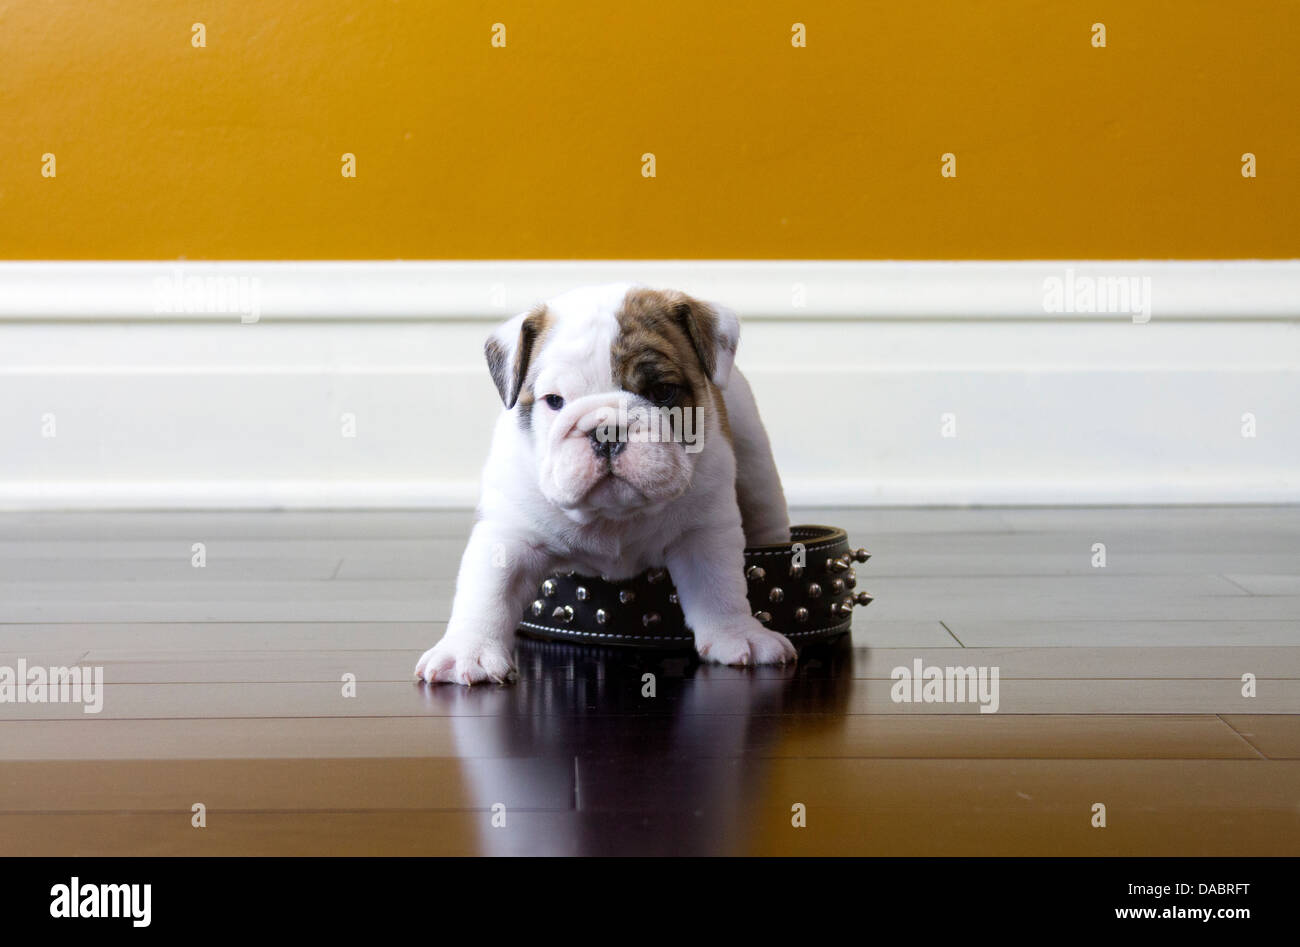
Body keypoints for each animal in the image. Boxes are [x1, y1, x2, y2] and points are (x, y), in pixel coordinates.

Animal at [416, 277, 795, 686]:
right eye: (554, 401)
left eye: (662, 391)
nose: (607, 430)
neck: (613, 515)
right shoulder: (509, 535)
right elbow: (488, 592)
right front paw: (466, 650)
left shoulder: (704, 532)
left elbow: (720, 585)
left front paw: (739, 633)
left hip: (754, 458)